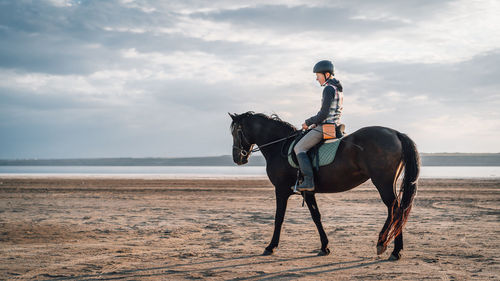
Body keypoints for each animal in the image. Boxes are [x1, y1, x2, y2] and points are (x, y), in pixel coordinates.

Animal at [229, 110, 420, 260]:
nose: (238, 158)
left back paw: (387, 246)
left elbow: (279, 218)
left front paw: (271, 246)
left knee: (395, 209)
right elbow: (316, 217)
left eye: (235, 132)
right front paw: (324, 247)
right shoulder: (308, 192)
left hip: (383, 183)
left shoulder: (281, 190)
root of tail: (395, 133)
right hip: (387, 183)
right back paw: (392, 248)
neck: (279, 146)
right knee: (397, 210)